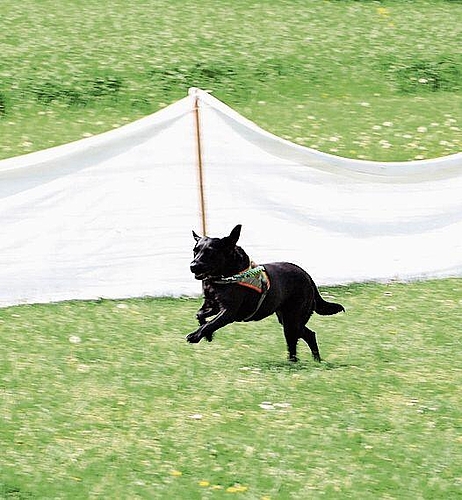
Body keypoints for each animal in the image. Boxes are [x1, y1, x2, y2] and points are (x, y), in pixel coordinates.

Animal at [186, 225, 344, 362]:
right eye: (195, 250)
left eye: (210, 252)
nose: (193, 266)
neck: (225, 275)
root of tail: (307, 276)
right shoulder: (213, 305)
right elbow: (200, 315)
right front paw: (208, 336)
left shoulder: (228, 312)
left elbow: (210, 323)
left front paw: (195, 336)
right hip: (287, 319)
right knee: (308, 335)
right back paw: (311, 361)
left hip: (292, 320)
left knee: (299, 338)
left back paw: (299, 362)